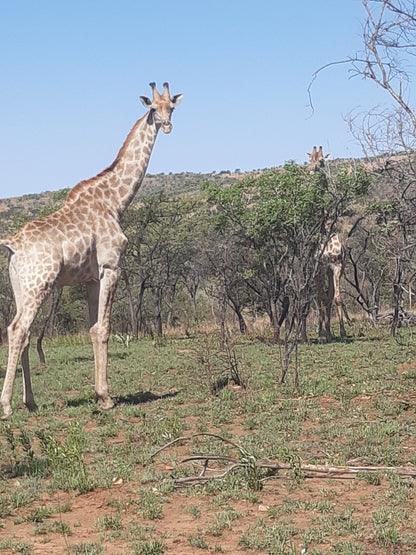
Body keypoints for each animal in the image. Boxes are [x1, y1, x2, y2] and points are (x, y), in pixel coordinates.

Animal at [0, 82, 182, 420]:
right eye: (153, 108)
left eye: (172, 108)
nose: (166, 126)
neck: (116, 201)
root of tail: (13, 243)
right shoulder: (111, 267)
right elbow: (104, 328)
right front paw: (106, 396)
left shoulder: (90, 279)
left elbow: (93, 329)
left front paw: (100, 395)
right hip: (38, 284)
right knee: (17, 330)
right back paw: (6, 405)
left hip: (20, 286)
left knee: (25, 333)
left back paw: (31, 402)